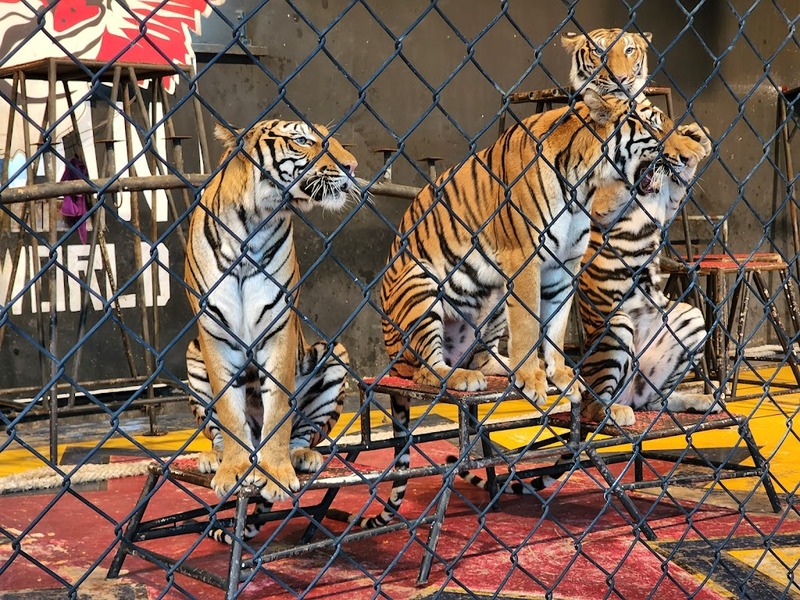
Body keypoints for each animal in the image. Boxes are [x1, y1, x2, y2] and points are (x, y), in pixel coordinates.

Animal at [184, 119, 357, 520]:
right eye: (302, 140)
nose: (352, 166)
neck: (254, 222)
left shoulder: (277, 330)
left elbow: (278, 410)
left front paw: (276, 475)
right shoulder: (214, 334)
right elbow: (230, 414)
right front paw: (232, 471)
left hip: (334, 356)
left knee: (303, 431)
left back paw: (303, 456)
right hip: (193, 357)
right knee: (220, 430)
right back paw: (214, 457)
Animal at [341, 90, 691, 529]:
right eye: (652, 123)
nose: (682, 157)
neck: (586, 184)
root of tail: (390, 357)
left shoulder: (564, 264)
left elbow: (554, 327)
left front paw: (559, 374)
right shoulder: (523, 256)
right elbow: (527, 324)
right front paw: (533, 380)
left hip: (488, 304)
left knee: (481, 356)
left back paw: (495, 368)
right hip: (420, 284)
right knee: (424, 369)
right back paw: (461, 377)